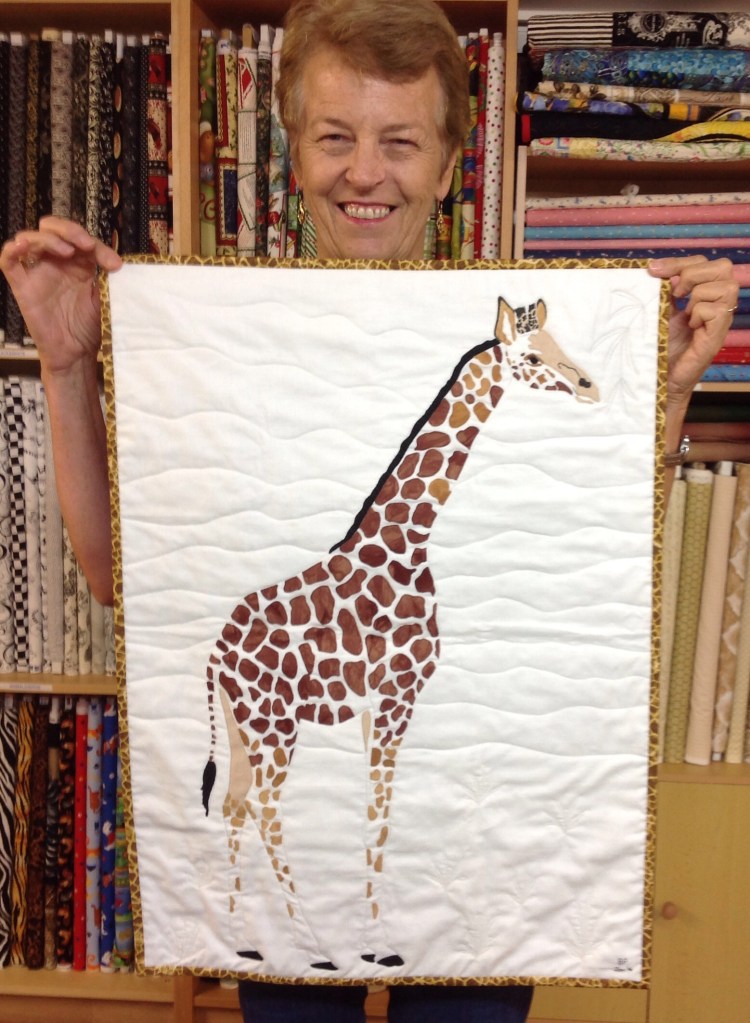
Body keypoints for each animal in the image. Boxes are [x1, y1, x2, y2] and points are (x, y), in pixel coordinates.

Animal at [201, 295, 600, 971]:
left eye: (559, 341)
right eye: (529, 357)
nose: (590, 387)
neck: (406, 545)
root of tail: (215, 656)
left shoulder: (372, 707)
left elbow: (372, 814)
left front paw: (373, 938)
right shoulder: (397, 696)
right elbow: (379, 816)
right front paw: (379, 947)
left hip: (239, 726)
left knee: (233, 804)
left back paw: (241, 941)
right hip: (274, 724)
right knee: (265, 809)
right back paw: (313, 948)